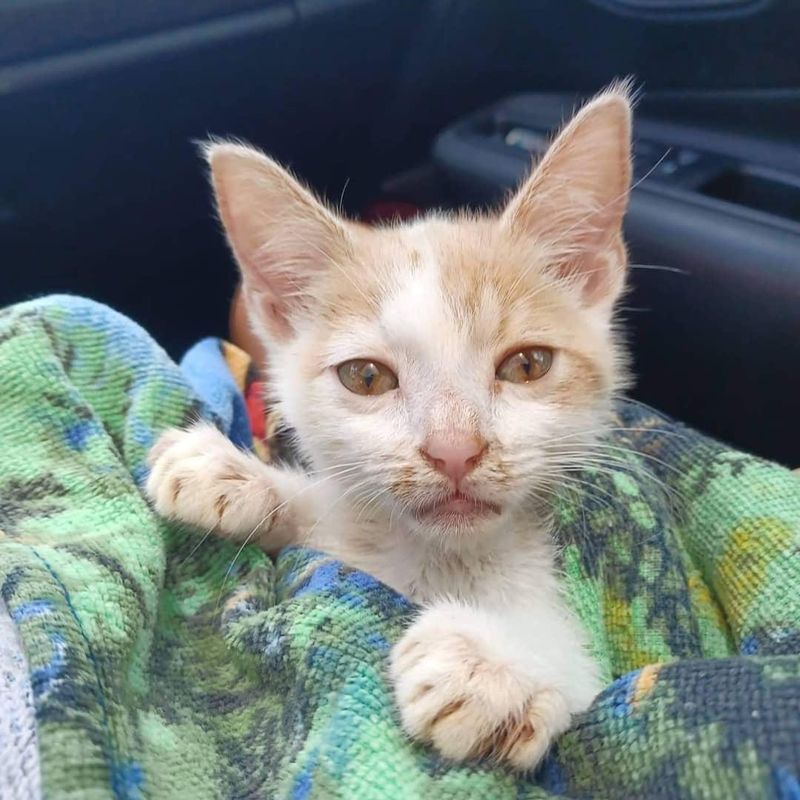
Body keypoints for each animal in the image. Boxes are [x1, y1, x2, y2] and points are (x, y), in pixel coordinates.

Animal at [144, 86, 632, 768]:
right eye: (366, 377)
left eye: (528, 365)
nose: (454, 451)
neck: (436, 559)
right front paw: (233, 474)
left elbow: (595, 677)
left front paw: (495, 665)